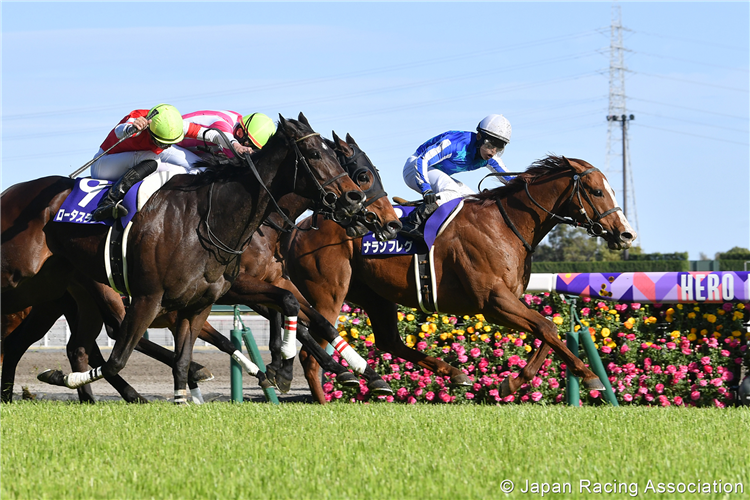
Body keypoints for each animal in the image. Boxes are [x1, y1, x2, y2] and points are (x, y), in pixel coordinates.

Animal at [284, 155, 636, 402]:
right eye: (596, 191)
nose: (626, 233)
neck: (505, 224)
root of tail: (301, 226)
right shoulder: (493, 301)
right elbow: (547, 328)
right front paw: (589, 375)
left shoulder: (505, 301)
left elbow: (546, 330)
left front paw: (511, 383)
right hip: (329, 291)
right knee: (311, 353)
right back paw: (326, 401)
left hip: (375, 294)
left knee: (389, 341)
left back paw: (453, 373)